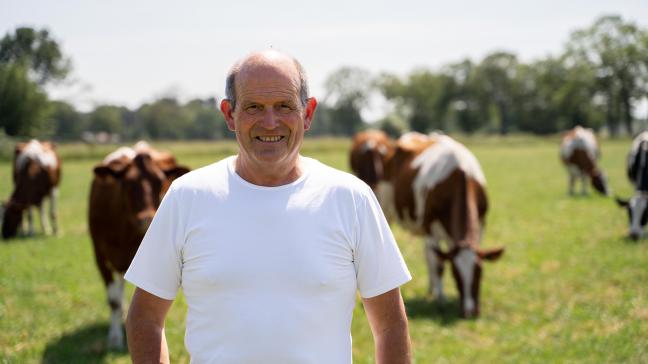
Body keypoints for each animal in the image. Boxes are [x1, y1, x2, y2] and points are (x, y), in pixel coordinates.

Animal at [88, 141, 190, 346]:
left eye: (160, 182)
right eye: (128, 183)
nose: (148, 218)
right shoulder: (100, 256)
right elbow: (113, 300)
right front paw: (115, 337)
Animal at [352, 130, 504, 316]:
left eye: (480, 272)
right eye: (455, 274)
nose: (469, 312)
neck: (458, 176)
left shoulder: (480, 225)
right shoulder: (431, 228)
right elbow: (438, 265)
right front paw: (441, 299)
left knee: (428, 254)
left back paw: (432, 289)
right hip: (385, 206)